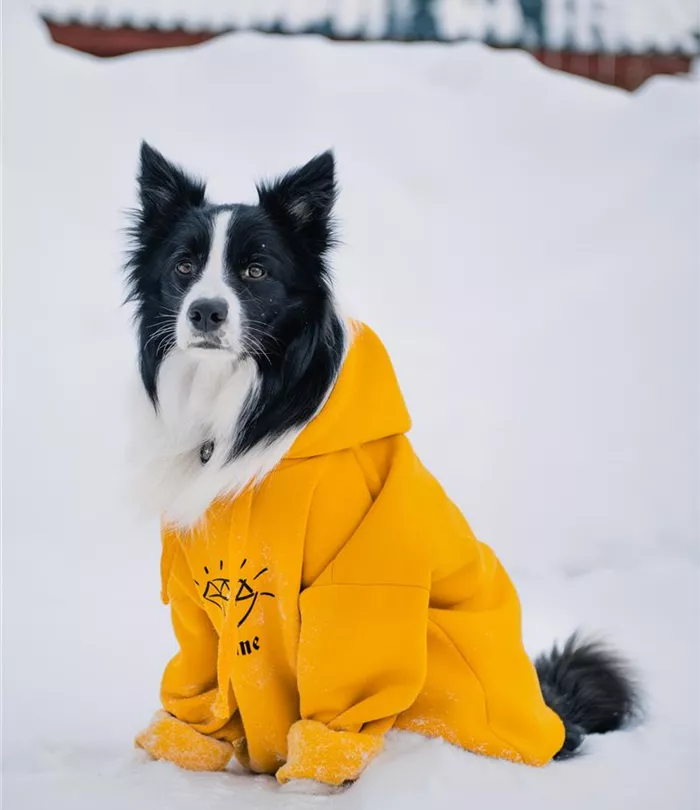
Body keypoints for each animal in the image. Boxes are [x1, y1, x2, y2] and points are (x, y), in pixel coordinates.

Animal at [126, 144, 640, 784]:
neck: (240, 408)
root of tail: (554, 720)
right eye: (184, 266)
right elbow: (199, 684)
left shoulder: (355, 591)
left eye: (255, 271)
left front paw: (311, 778)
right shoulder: (196, 597)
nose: (205, 313)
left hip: (435, 646)